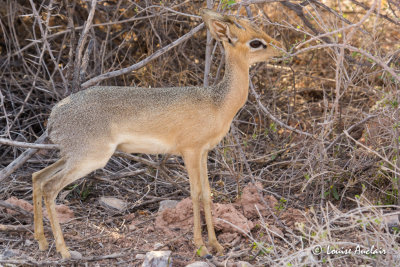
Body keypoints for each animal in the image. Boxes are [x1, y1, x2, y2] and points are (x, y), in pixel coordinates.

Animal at [32, 8, 282, 260]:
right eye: (256, 42)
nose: (281, 49)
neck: (217, 103)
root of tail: (54, 116)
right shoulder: (190, 152)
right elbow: (194, 194)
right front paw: (201, 246)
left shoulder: (203, 153)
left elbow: (207, 193)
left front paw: (216, 244)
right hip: (89, 158)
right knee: (50, 187)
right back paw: (63, 250)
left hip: (72, 156)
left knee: (38, 177)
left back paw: (42, 242)